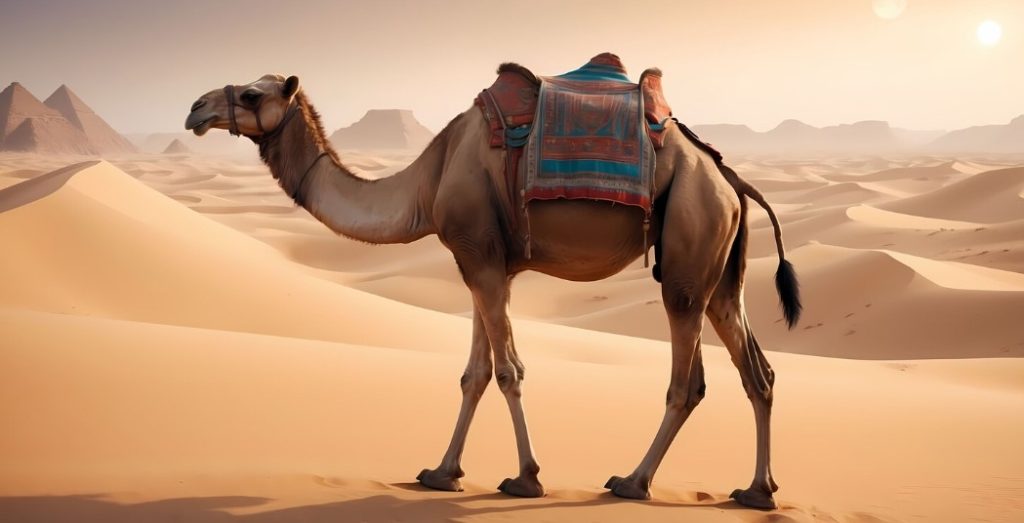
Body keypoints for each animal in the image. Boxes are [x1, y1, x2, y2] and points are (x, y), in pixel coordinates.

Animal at [184, 72, 801, 510]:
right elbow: (474, 375)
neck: (428, 180)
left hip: (686, 254)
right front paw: (441, 473)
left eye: (250, 92)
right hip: (719, 269)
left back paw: (633, 481)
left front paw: (525, 478)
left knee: (687, 381)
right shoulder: (483, 263)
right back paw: (758, 491)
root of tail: (730, 178)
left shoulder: (478, 255)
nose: (195, 108)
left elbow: (508, 371)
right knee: (759, 372)